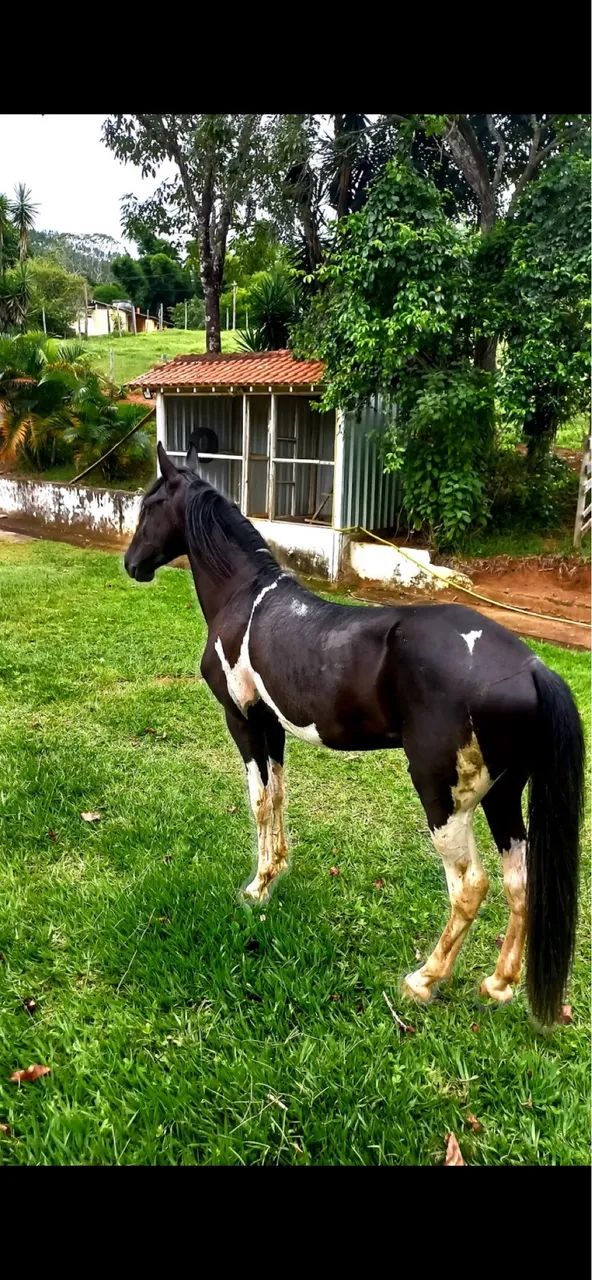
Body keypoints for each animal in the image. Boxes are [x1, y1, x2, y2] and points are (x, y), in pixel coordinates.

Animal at [124, 442, 584, 1025]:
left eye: (150, 504)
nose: (132, 564)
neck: (244, 600)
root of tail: (529, 666)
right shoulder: (273, 727)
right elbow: (279, 797)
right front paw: (276, 874)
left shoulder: (244, 721)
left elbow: (258, 802)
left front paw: (255, 889)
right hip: (503, 796)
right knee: (518, 880)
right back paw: (498, 984)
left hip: (444, 797)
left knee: (470, 886)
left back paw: (424, 980)